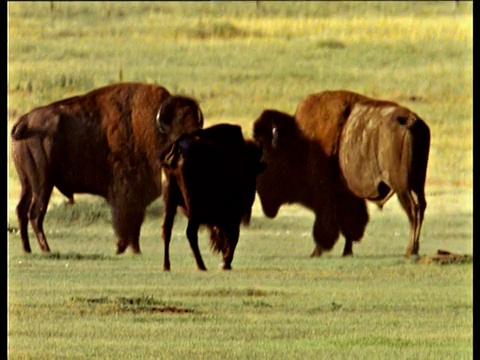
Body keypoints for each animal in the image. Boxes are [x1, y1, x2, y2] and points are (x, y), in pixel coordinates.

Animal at [10, 83, 203, 255]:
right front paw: (121, 249)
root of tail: (23, 122)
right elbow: (125, 221)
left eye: (197, 133)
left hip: (27, 184)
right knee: (35, 213)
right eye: (177, 136)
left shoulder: (138, 198)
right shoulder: (125, 194)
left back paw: (27, 249)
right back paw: (46, 249)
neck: (154, 130)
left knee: (22, 211)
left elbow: (136, 224)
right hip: (42, 184)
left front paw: (135, 250)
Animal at [160, 124, 266, 270]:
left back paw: (167, 266)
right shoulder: (233, 215)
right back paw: (201, 266)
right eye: (253, 171)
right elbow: (234, 236)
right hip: (194, 208)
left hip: (169, 202)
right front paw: (225, 263)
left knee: (167, 230)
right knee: (190, 233)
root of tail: (178, 147)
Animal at [253, 90, 430, 258]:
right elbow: (351, 224)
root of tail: (411, 121)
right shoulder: (348, 196)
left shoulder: (326, 196)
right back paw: (414, 249)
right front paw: (347, 252)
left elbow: (327, 225)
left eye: (268, 161)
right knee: (421, 207)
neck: (300, 140)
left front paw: (316, 252)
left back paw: (410, 250)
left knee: (413, 211)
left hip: (402, 187)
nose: (258, 190)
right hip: (417, 183)